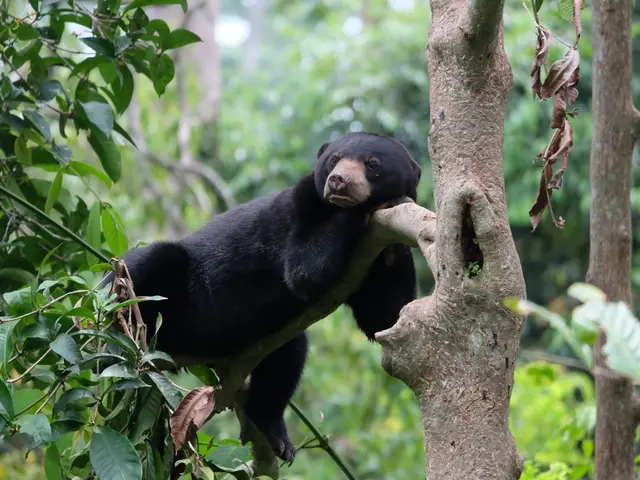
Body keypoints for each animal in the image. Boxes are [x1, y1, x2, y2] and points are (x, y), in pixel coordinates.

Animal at [108, 131, 421, 464]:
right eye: (334, 159)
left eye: (373, 165)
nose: (338, 181)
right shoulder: (300, 212)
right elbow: (304, 270)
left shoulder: (369, 264)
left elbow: (383, 317)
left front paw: (399, 210)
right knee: (152, 260)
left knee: (287, 360)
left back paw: (277, 437)